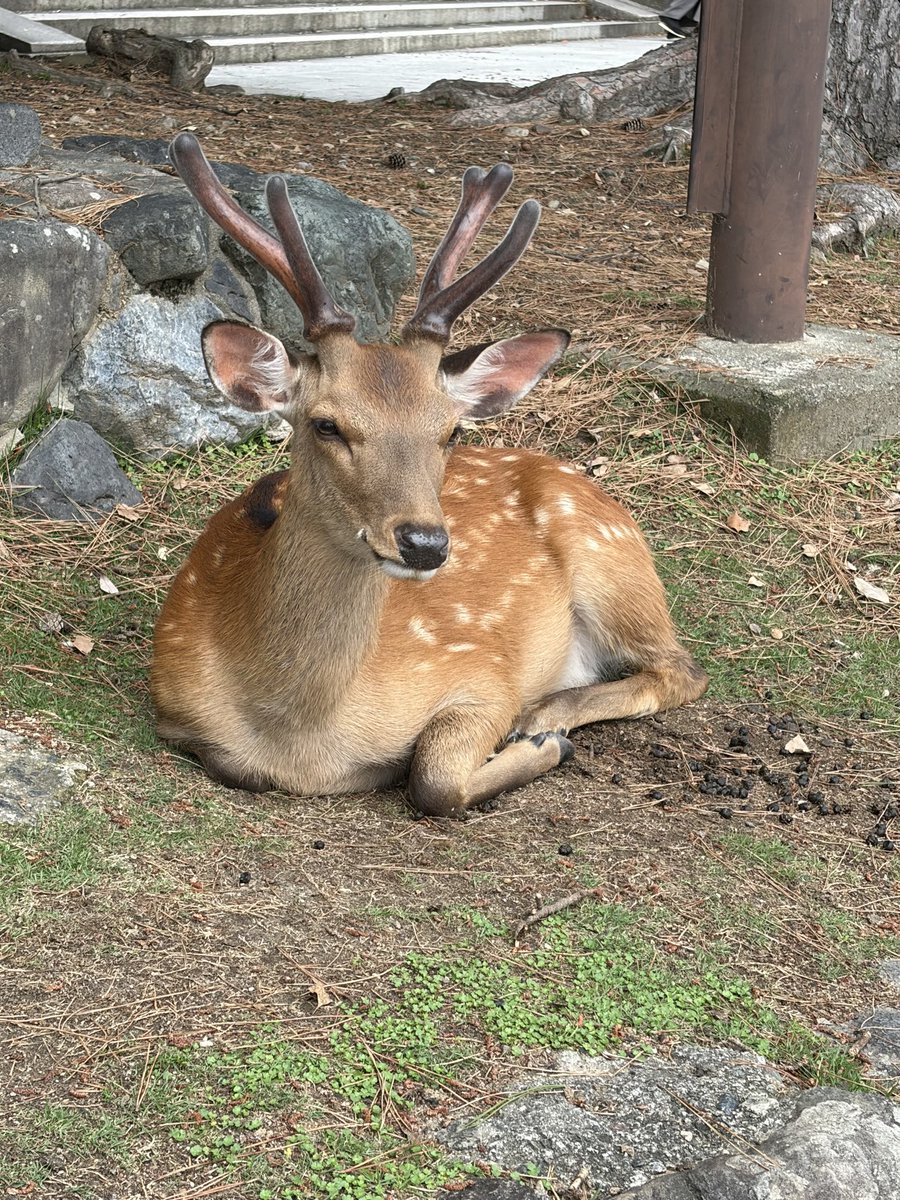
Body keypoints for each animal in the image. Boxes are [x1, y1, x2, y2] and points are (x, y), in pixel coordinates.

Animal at [150, 133, 708, 817]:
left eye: (450, 431)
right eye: (327, 424)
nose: (424, 543)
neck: (300, 739)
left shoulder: (483, 672)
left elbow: (434, 776)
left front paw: (541, 744)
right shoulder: (174, 706)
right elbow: (234, 764)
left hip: (611, 559)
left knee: (681, 667)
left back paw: (549, 714)